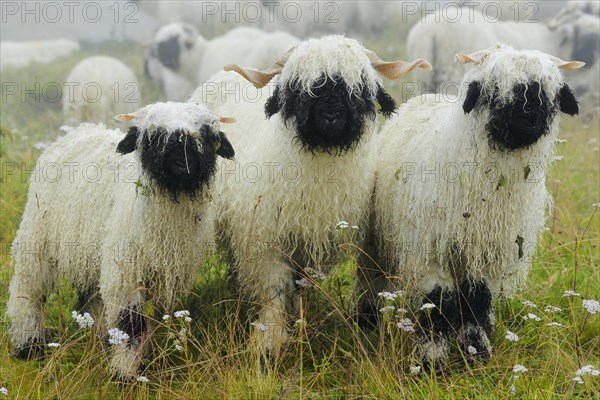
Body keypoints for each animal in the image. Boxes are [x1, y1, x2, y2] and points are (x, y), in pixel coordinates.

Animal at [8, 101, 237, 380]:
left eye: (206, 136)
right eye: (153, 137)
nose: (184, 165)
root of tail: (79, 130)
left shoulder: (162, 276)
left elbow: (150, 320)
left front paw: (142, 361)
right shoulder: (126, 273)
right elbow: (131, 325)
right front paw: (124, 374)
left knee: (92, 295)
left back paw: (97, 337)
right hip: (37, 238)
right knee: (27, 290)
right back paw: (28, 346)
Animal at [192, 35, 432, 362]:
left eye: (358, 87)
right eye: (297, 88)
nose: (330, 117)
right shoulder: (268, 240)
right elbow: (274, 290)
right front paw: (269, 342)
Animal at [358, 45, 584, 370]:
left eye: (550, 93)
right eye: (493, 90)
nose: (528, 117)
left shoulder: (487, 253)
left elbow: (478, 299)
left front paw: (477, 351)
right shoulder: (431, 250)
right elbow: (439, 302)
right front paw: (432, 359)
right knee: (371, 276)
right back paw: (366, 319)